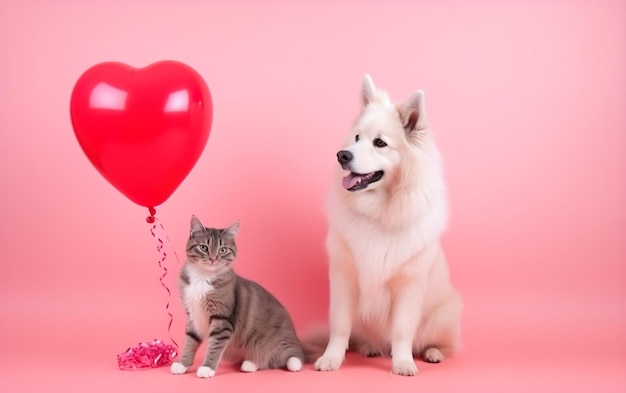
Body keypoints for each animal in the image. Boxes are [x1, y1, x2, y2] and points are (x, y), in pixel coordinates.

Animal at [168, 214, 304, 376]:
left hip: (276, 341)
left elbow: (214, 348)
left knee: (291, 355)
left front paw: (207, 368)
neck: (202, 277)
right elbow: (190, 342)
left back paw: (293, 363)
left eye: (222, 250)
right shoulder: (193, 316)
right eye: (203, 248)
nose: (213, 258)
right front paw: (182, 365)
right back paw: (250, 364)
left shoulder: (222, 320)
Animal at [314, 75, 460, 376]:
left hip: (443, 314)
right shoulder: (344, 279)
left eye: (380, 143)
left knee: (438, 344)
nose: (342, 155)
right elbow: (340, 327)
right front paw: (331, 359)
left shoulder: (408, 285)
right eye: (357, 138)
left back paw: (433, 353)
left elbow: (402, 331)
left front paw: (403, 363)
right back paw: (369, 347)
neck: (379, 212)